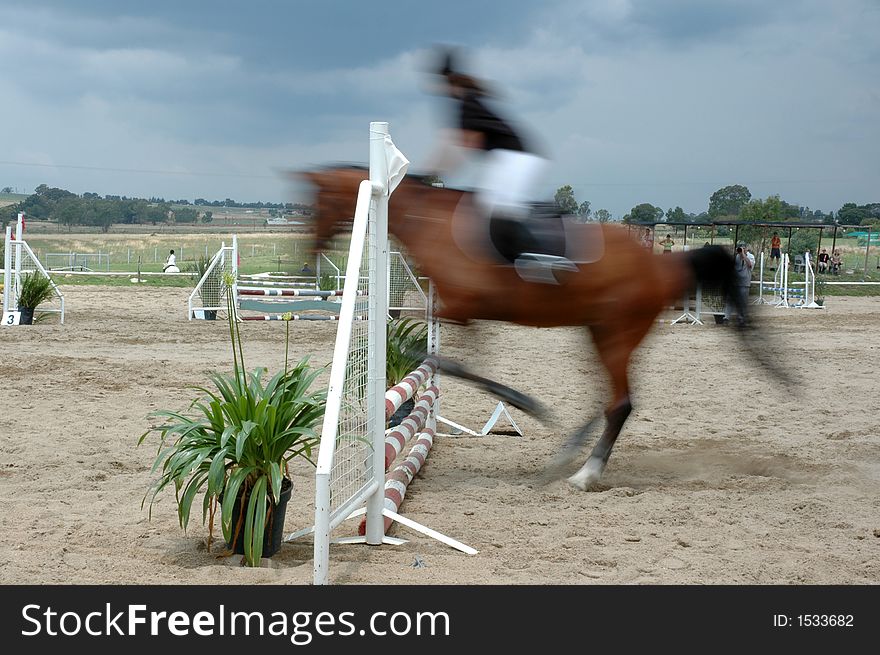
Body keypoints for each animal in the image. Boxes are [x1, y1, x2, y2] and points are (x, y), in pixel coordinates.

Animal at [304, 167, 792, 490]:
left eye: (319, 199)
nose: (309, 251)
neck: (436, 225)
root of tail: (662, 265)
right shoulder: (463, 314)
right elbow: (458, 364)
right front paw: (523, 405)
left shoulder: (462, 309)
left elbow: (445, 361)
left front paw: (525, 404)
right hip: (598, 332)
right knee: (609, 400)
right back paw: (568, 455)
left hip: (615, 335)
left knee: (621, 403)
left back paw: (585, 473)